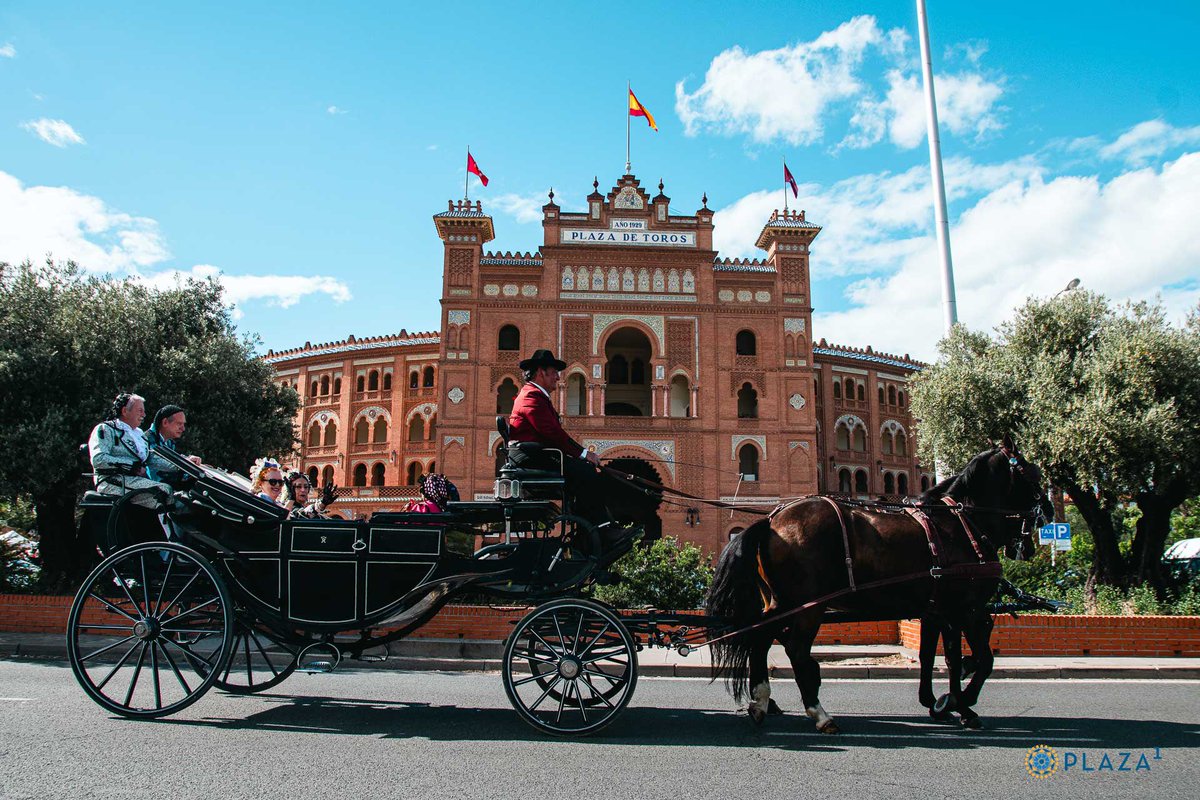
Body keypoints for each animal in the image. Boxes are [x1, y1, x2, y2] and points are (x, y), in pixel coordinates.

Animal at [705, 441, 1056, 734]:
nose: (1049, 512)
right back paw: (820, 715)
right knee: (795, 649)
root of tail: (771, 520)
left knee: (761, 638)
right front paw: (962, 704)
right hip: (809, 604)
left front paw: (941, 702)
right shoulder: (967, 608)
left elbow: (942, 657)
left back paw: (761, 702)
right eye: (1032, 473)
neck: (961, 523)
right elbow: (983, 659)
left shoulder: (939, 610)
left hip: (781, 600)